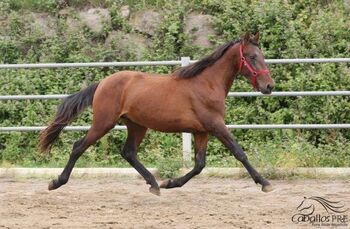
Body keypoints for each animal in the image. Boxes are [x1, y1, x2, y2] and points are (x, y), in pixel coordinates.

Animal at [38, 31, 274, 195]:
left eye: (262, 56)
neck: (207, 83)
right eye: (252, 57)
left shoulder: (202, 131)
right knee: (78, 146)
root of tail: (102, 83)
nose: (269, 86)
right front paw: (265, 183)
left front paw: (170, 183)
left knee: (129, 152)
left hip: (136, 125)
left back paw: (154, 184)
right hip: (104, 123)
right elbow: (239, 152)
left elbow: (199, 164)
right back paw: (56, 182)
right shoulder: (216, 125)